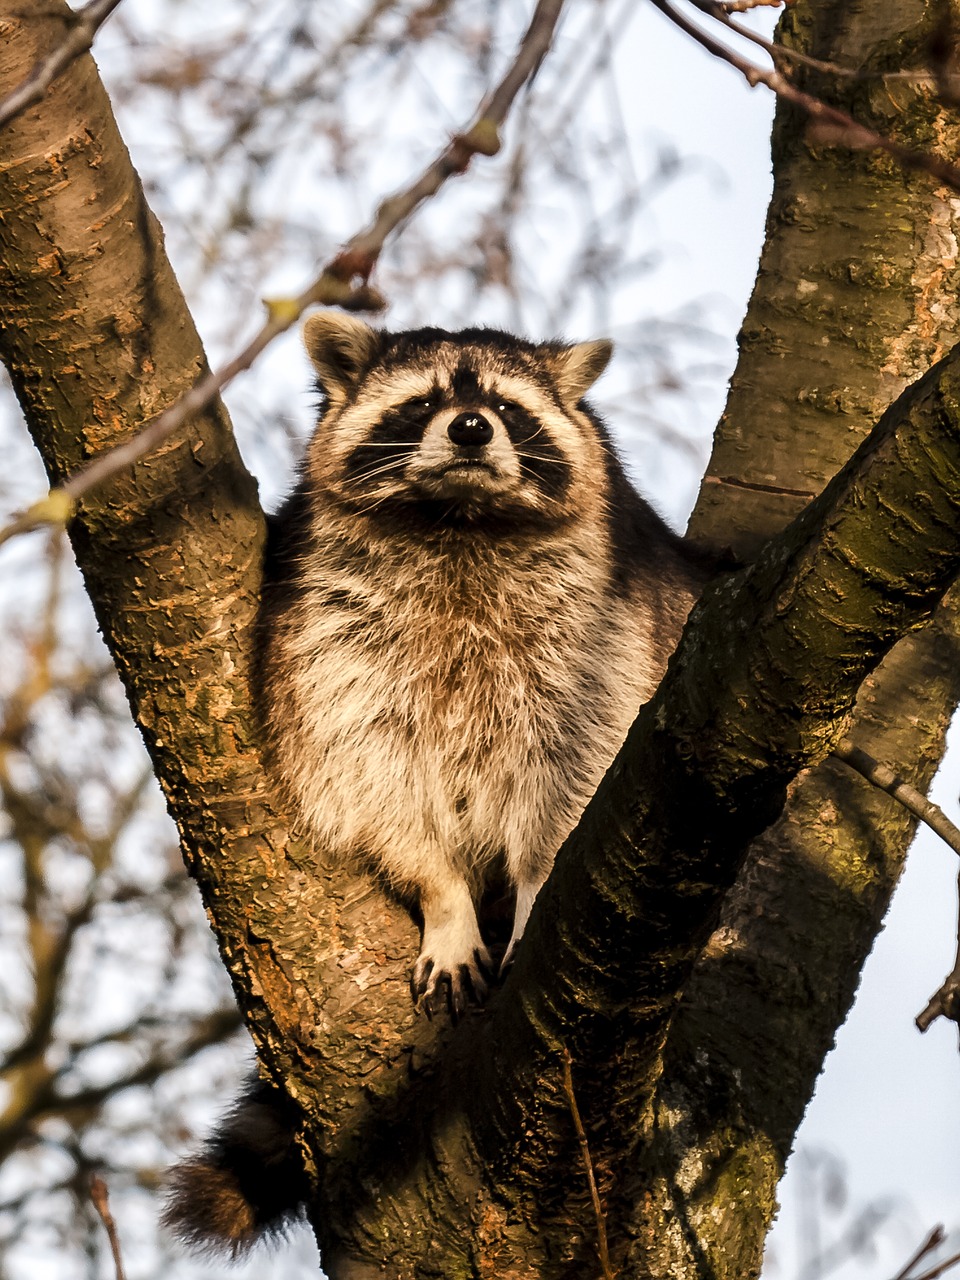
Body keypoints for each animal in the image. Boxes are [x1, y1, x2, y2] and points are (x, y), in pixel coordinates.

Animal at [259, 317, 711, 1018]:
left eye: (507, 407)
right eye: (422, 402)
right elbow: (374, 770)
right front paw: (444, 899)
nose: (470, 427)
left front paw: (535, 882)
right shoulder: (331, 633)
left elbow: (577, 768)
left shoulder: (603, 636)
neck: (460, 521)